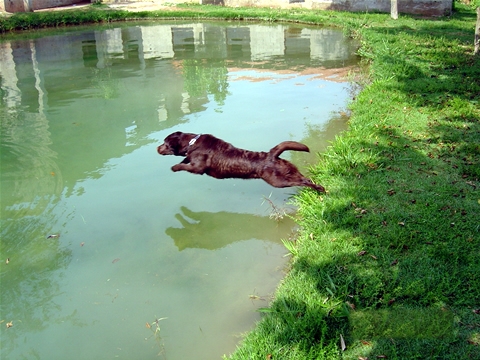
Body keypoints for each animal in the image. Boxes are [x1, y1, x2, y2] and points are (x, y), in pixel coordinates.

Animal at [158, 131, 326, 193]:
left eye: (165, 143)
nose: (157, 148)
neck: (192, 142)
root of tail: (271, 154)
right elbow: (186, 158)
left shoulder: (198, 168)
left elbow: (184, 165)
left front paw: (174, 167)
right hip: (287, 172)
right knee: (304, 178)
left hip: (278, 181)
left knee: (303, 181)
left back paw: (320, 189)